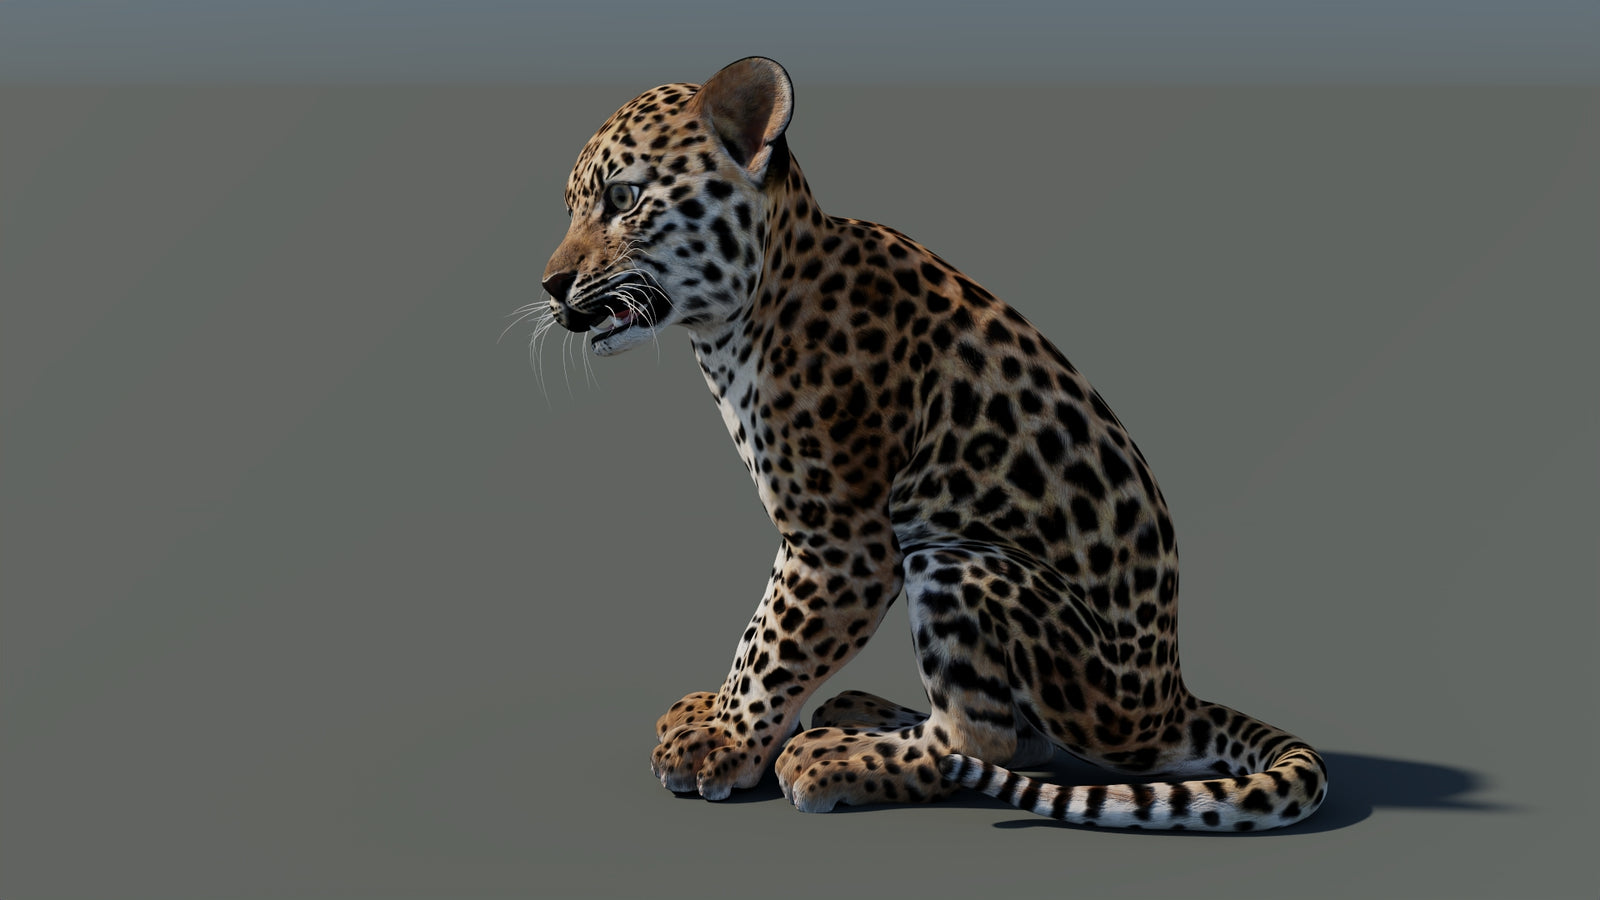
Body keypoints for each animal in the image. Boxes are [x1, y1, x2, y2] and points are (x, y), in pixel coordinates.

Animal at [533, 56, 1327, 831]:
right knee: (1022, 739)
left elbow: (775, 642)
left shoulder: (840, 544)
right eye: (573, 207)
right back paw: (860, 710)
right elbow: (761, 630)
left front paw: (725, 742)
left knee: (984, 738)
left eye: (624, 197)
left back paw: (837, 756)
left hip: (957, 560)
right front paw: (717, 721)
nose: (551, 284)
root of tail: (1170, 697)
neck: (736, 322)